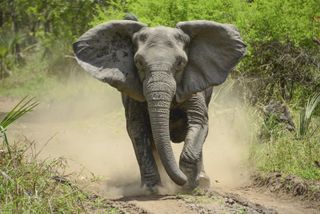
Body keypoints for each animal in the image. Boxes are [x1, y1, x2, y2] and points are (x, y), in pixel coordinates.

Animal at [74, 19, 246, 191]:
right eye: (139, 63)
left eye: (180, 63)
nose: (182, 180)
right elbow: (137, 128)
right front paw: (152, 188)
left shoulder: (193, 83)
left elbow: (198, 121)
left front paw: (190, 184)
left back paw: (201, 182)